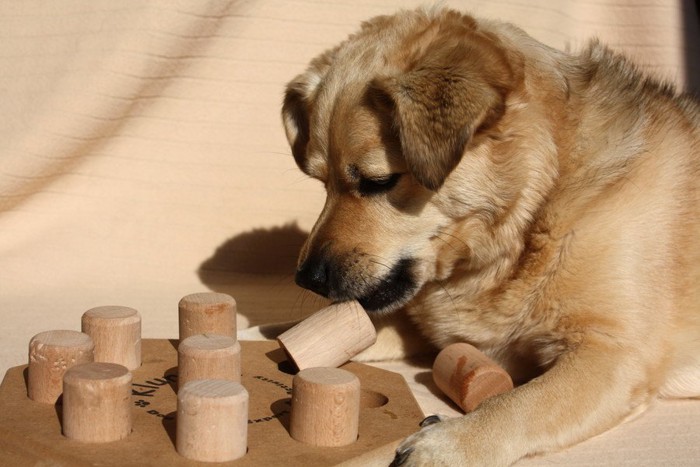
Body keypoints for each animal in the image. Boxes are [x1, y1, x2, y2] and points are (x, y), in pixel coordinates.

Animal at [280, 8, 700, 467]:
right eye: (321, 182)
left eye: (379, 182)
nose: (306, 279)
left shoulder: (612, 354)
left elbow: (521, 404)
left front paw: (449, 443)